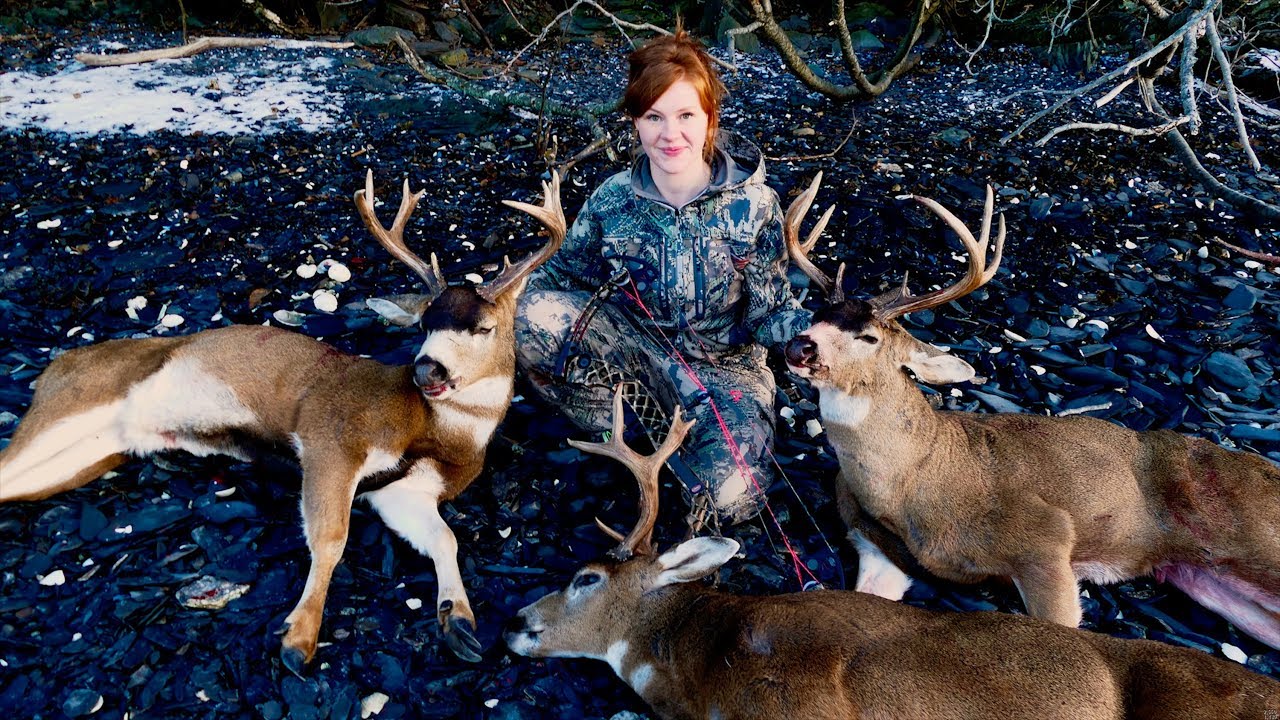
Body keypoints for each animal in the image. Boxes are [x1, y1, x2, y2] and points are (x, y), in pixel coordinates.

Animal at [0, 167, 565, 671]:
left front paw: (460, 620)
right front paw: (299, 637)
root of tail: (54, 366)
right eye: (425, 321)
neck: (435, 432)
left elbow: (445, 539)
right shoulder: (331, 435)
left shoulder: (403, 492)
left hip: (88, 454)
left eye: (485, 326)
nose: (426, 369)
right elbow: (332, 537)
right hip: (68, 404)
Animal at [773, 172, 1280, 650]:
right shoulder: (877, 545)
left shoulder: (1046, 536)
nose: (799, 347)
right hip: (1208, 577)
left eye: (869, 337)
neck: (918, 479)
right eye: (816, 314)